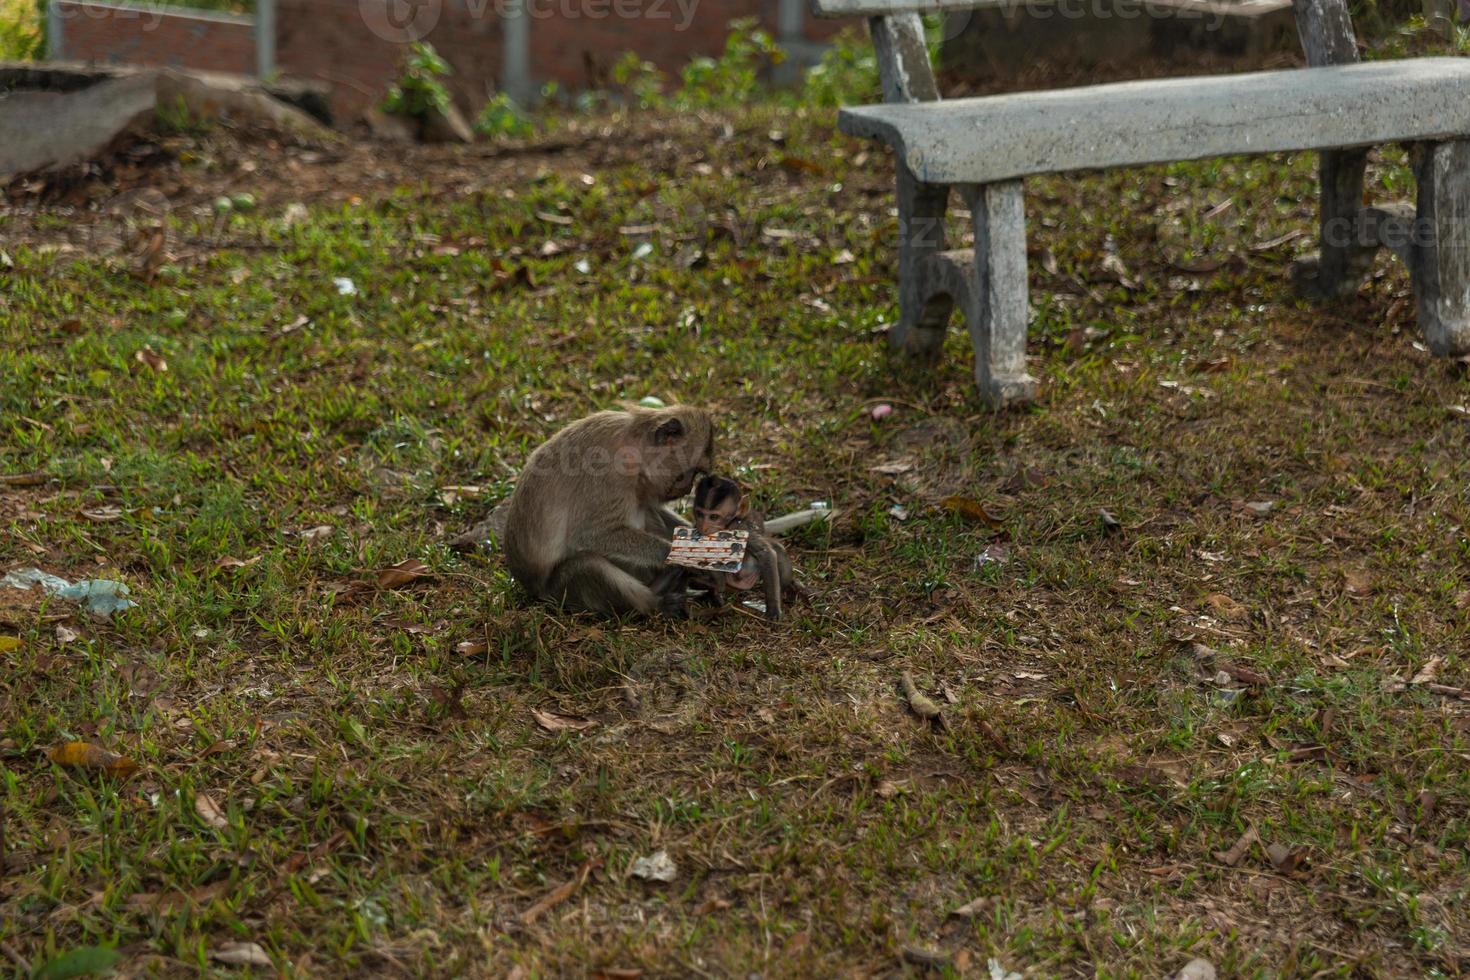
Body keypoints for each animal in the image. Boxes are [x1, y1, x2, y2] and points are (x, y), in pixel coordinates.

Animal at [687, 476, 793, 620]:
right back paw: (712, 588)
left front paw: (773, 608)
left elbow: (765, 552)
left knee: (778, 549)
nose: (703, 526)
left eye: (714, 517)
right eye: (699, 514)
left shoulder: (741, 528)